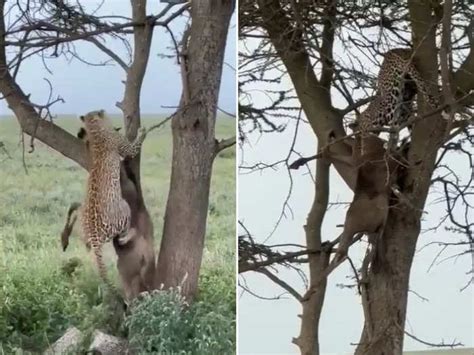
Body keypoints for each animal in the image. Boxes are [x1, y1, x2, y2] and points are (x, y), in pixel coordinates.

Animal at [79, 110, 146, 294]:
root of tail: (94, 235)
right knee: (123, 234)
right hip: (123, 207)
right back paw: (129, 234)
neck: (95, 131)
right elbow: (133, 148)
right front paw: (142, 131)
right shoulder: (125, 147)